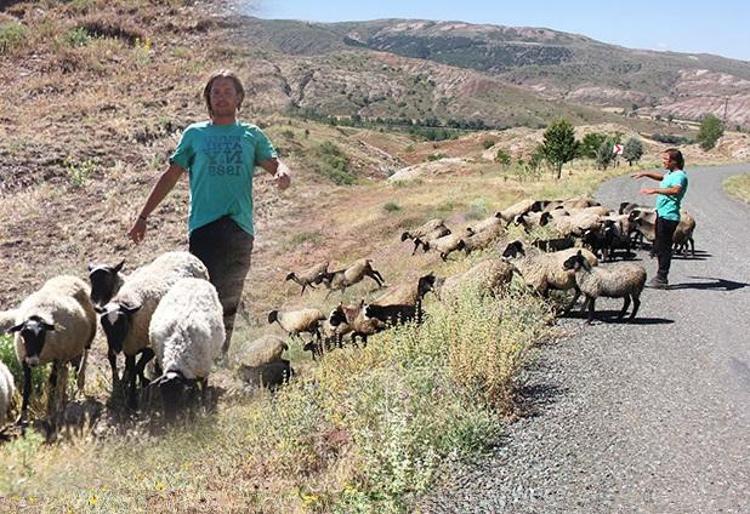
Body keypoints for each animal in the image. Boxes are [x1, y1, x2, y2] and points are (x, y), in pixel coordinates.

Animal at [6, 276, 97, 424]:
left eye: (42, 335)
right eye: (24, 335)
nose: (33, 362)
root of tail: (69, 277)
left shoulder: (56, 358)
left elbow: (52, 384)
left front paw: (49, 412)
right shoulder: (24, 359)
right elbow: (27, 387)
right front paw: (22, 416)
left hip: (87, 338)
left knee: (83, 361)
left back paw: (78, 387)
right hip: (69, 351)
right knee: (67, 371)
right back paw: (64, 400)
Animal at [97, 250, 209, 406]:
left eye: (122, 323)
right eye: (104, 324)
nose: (115, 349)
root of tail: (185, 253)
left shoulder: (145, 345)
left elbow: (136, 369)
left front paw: (133, 399)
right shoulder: (130, 346)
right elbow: (132, 367)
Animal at [148, 278, 225, 414]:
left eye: (178, 394)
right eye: (162, 394)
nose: (170, 417)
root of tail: (195, 279)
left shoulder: (202, 369)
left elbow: (199, 388)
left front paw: (198, 406)